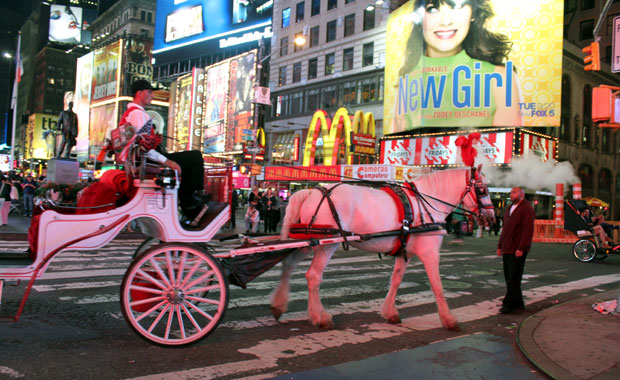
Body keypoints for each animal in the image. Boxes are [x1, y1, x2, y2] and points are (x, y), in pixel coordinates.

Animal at [274, 168, 496, 332]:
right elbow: (437, 286)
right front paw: (449, 319)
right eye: (482, 189)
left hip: (308, 240)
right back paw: (319, 317)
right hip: (327, 243)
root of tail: (312, 191)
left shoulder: (405, 253)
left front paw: (390, 313)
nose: (492, 218)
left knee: (289, 264)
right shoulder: (430, 254)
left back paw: (279, 304)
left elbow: (396, 280)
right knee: (313, 276)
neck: (426, 204)